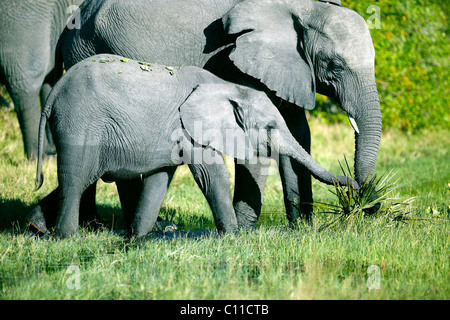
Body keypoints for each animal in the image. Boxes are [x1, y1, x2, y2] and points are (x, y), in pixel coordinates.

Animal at [35, 54, 356, 238]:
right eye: (270, 128)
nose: (356, 187)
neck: (226, 85)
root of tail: (54, 92)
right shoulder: (193, 128)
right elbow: (211, 175)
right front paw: (234, 238)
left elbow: (160, 178)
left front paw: (138, 239)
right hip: (80, 121)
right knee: (77, 178)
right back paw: (67, 237)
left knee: (79, 179)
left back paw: (35, 227)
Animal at [54, 0, 382, 230]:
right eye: (335, 66)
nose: (366, 204)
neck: (305, 8)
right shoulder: (237, 59)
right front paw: (245, 230)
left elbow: (299, 131)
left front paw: (302, 228)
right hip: (88, 50)